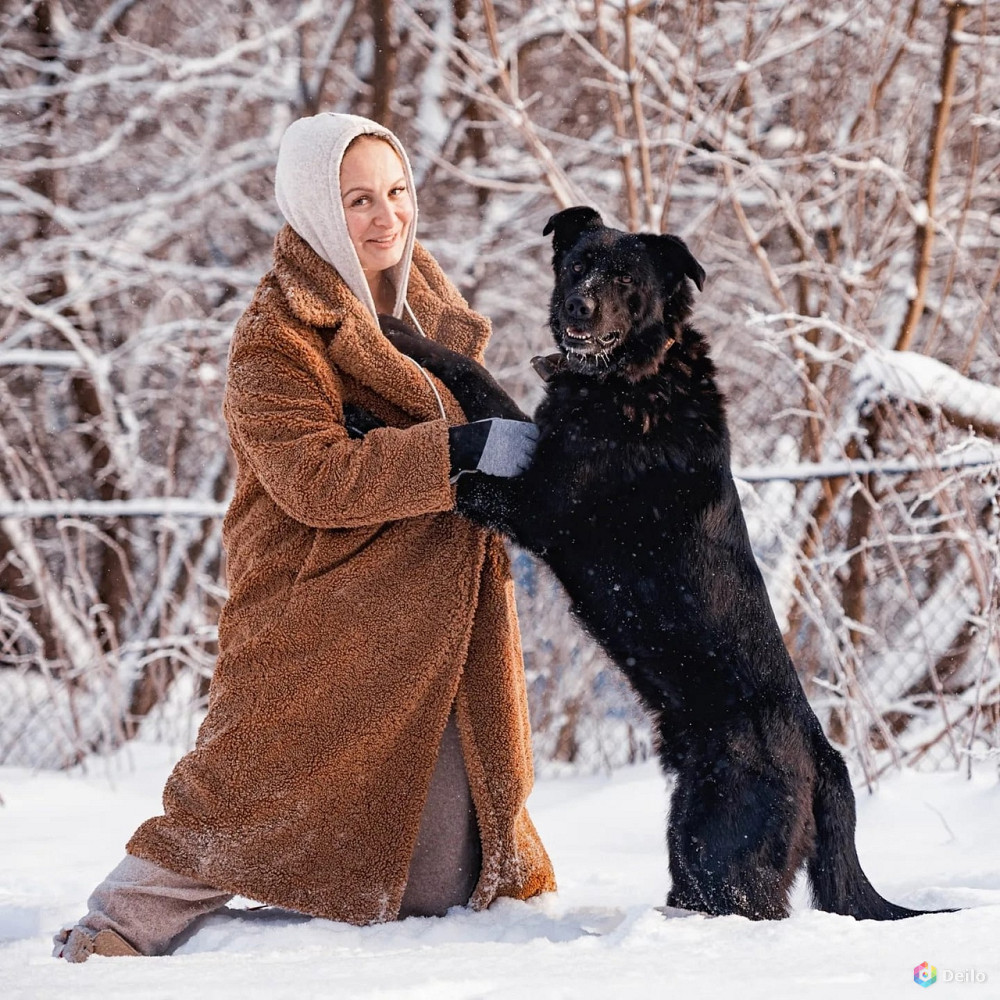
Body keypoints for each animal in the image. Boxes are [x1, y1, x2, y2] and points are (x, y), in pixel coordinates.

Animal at [370, 205, 936, 920]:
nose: (577, 306)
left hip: (723, 856)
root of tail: (821, 751)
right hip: (689, 838)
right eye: (578, 264)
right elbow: (477, 381)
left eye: (623, 278)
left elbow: (463, 476)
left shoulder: (544, 508)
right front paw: (395, 335)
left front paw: (368, 407)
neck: (631, 379)